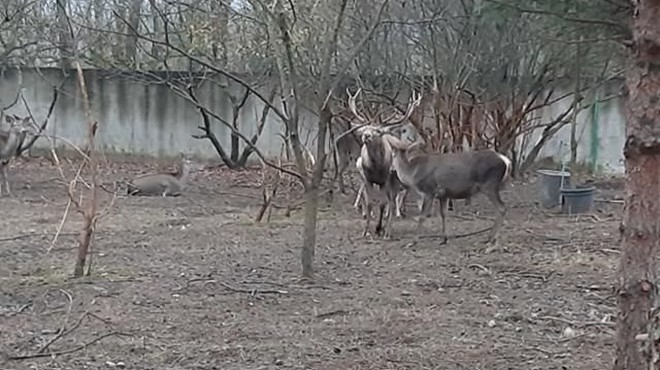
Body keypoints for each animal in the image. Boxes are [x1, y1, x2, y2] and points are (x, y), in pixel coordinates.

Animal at [346, 86, 422, 237]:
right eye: (365, 128)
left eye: (377, 131)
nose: (366, 135)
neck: (376, 168)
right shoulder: (368, 179)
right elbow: (370, 203)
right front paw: (366, 230)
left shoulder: (386, 179)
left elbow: (382, 204)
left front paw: (379, 228)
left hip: (396, 178)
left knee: (392, 200)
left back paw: (389, 227)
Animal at [382, 134, 516, 244]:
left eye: (391, 155)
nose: (390, 169)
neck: (413, 173)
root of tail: (507, 161)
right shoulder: (443, 194)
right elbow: (443, 214)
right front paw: (444, 238)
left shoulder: (429, 190)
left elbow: (422, 216)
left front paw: (413, 241)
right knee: (501, 208)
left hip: (489, 185)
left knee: (502, 208)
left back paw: (491, 238)